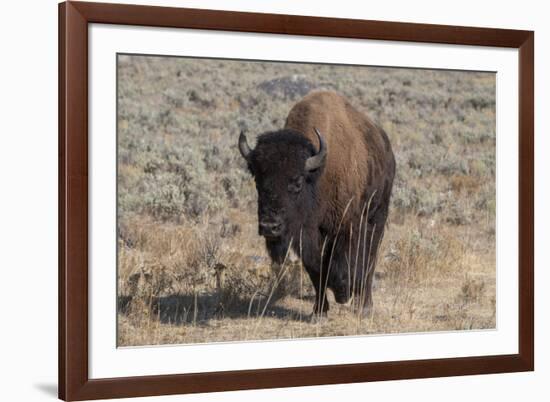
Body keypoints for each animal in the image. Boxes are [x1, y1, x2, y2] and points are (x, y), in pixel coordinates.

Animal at [239, 91, 394, 318]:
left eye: (297, 181)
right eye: (257, 180)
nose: (269, 227)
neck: (318, 175)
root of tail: (385, 145)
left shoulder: (348, 226)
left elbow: (350, 263)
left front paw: (343, 294)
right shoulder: (308, 236)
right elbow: (316, 270)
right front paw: (319, 312)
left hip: (378, 216)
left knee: (370, 259)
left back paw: (364, 306)